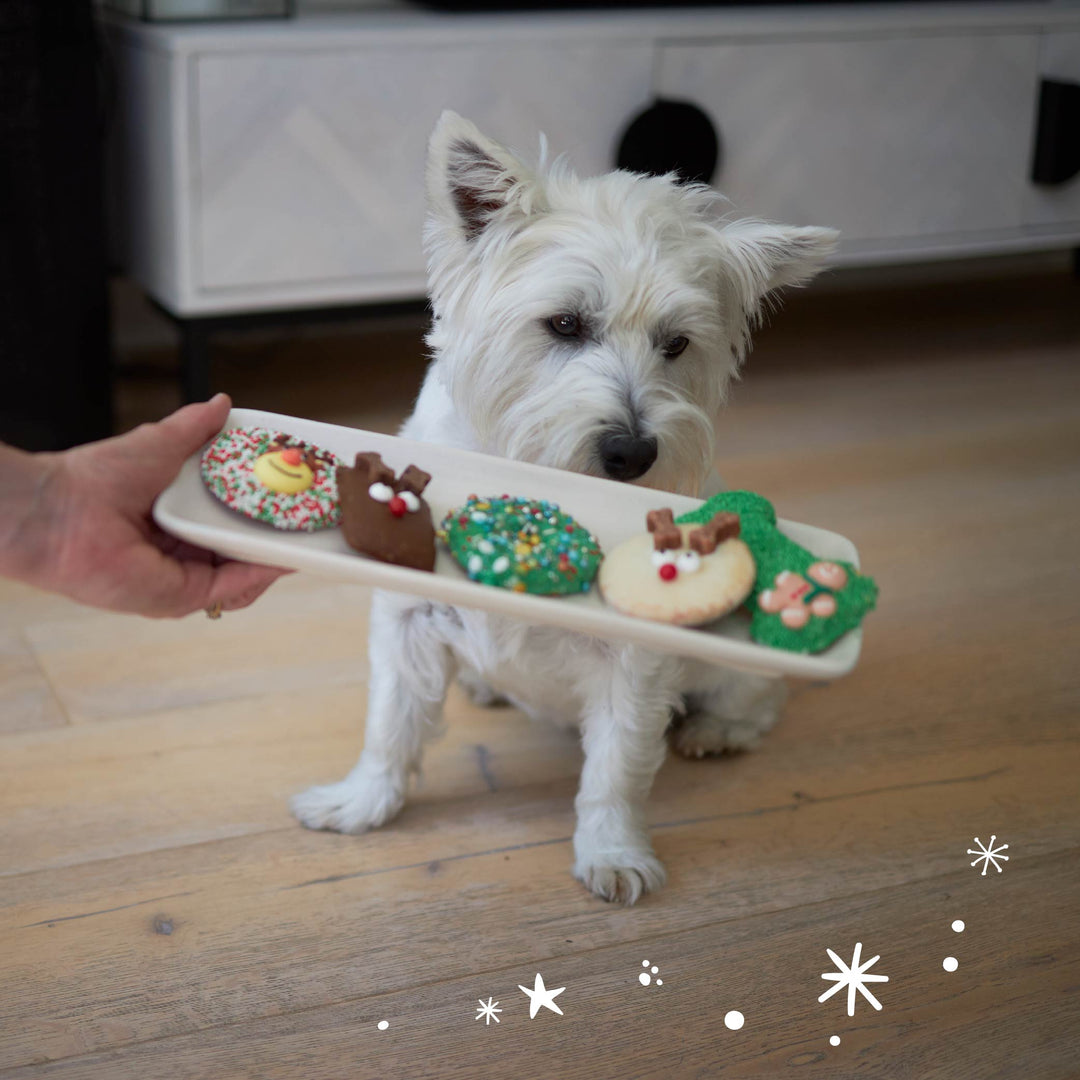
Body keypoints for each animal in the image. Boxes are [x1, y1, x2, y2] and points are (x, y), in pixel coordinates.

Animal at [291, 111, 838, 902]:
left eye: (677, 344)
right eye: (566, 324)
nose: (632, 453)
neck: (541, 479)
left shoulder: (636, 660)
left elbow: (617, 765)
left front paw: (614, 855)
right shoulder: (408, 618)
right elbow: (390, 722)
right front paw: (359, 804)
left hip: (732, 670)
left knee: (758, 699)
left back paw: (713, 733)